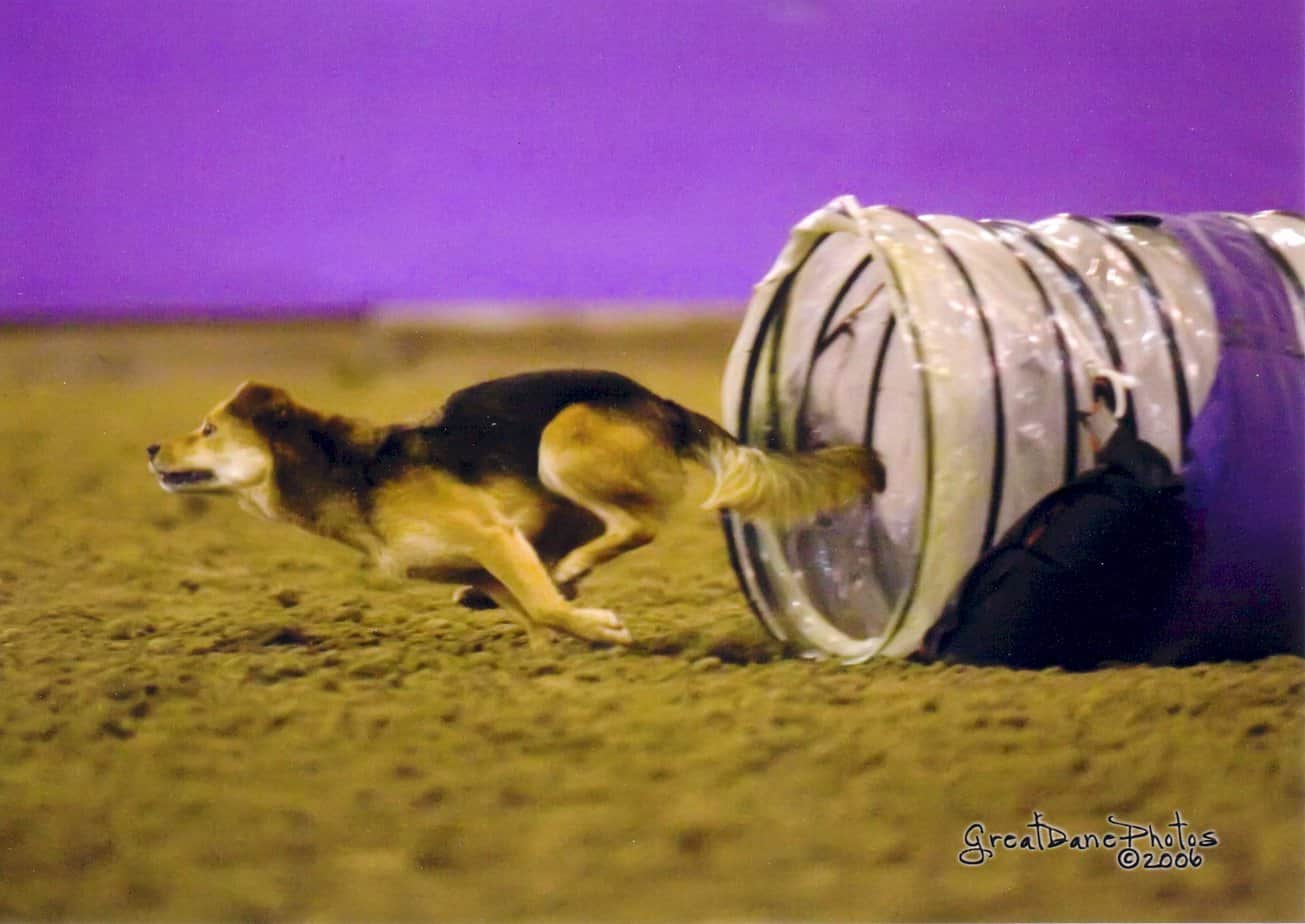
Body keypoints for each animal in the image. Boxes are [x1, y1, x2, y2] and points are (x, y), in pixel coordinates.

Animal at [150, 370, 887, 647]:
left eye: (209, 429)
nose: (153, 446)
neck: (352, 471)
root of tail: (659, 402)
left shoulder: (492, 535)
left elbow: (545, 604)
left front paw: (596, 626)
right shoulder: (490, 560)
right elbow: (531, 606)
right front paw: (575, 631)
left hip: (561, 445)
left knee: (640, 525)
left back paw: (579, 569)